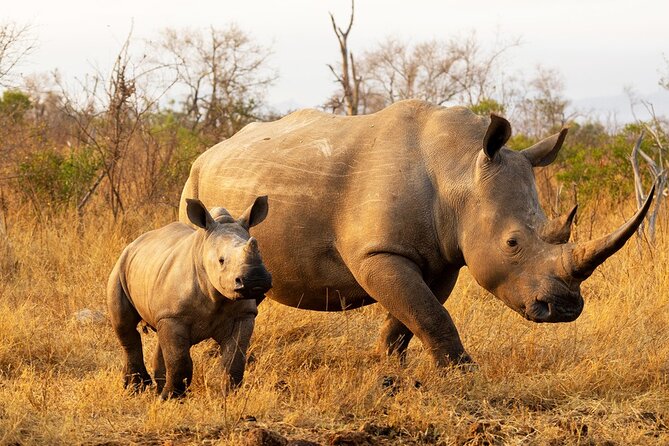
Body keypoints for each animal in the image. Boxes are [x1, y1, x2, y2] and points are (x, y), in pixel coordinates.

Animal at [107, 197, 272, 399]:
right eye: (221, 260)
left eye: (261, 254)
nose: (256, 280)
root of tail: (135, 242)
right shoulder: (174, 316)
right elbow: (179, 360)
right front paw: (171, 398)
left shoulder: (243, 314)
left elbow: (234, 358)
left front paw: (228, 395)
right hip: (120, 267)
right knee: (125, 327)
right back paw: (135, 389)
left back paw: (155, 387)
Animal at [178, 100, 653, 366]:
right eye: (512, 243)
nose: (565, 308)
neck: (459, 167)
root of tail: (211, 150)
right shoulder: (378, 252)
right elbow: (428, 313)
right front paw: (463, 375)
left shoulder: (442, 257)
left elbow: (413, 315)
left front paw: (386, 367)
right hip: (194, 184)